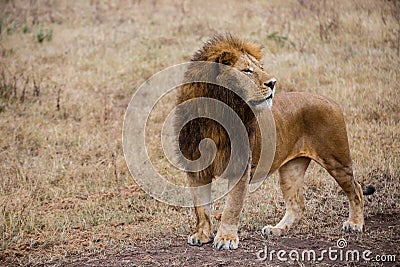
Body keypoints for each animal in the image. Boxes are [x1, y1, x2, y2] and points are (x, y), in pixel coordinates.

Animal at [175, 35, 376, 251]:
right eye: (247, 70)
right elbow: (201, 208)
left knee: (356, 190)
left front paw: (226, 239)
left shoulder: (240, 167)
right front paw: (202, 235)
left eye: (260, 67)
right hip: (291, 169)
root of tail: (329, 99)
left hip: (336, 160)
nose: (273, 82)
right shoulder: (196, 169)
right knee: (297, 205)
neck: (214, 117)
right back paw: (277, 229)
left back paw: (354, 224)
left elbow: (232, 206)